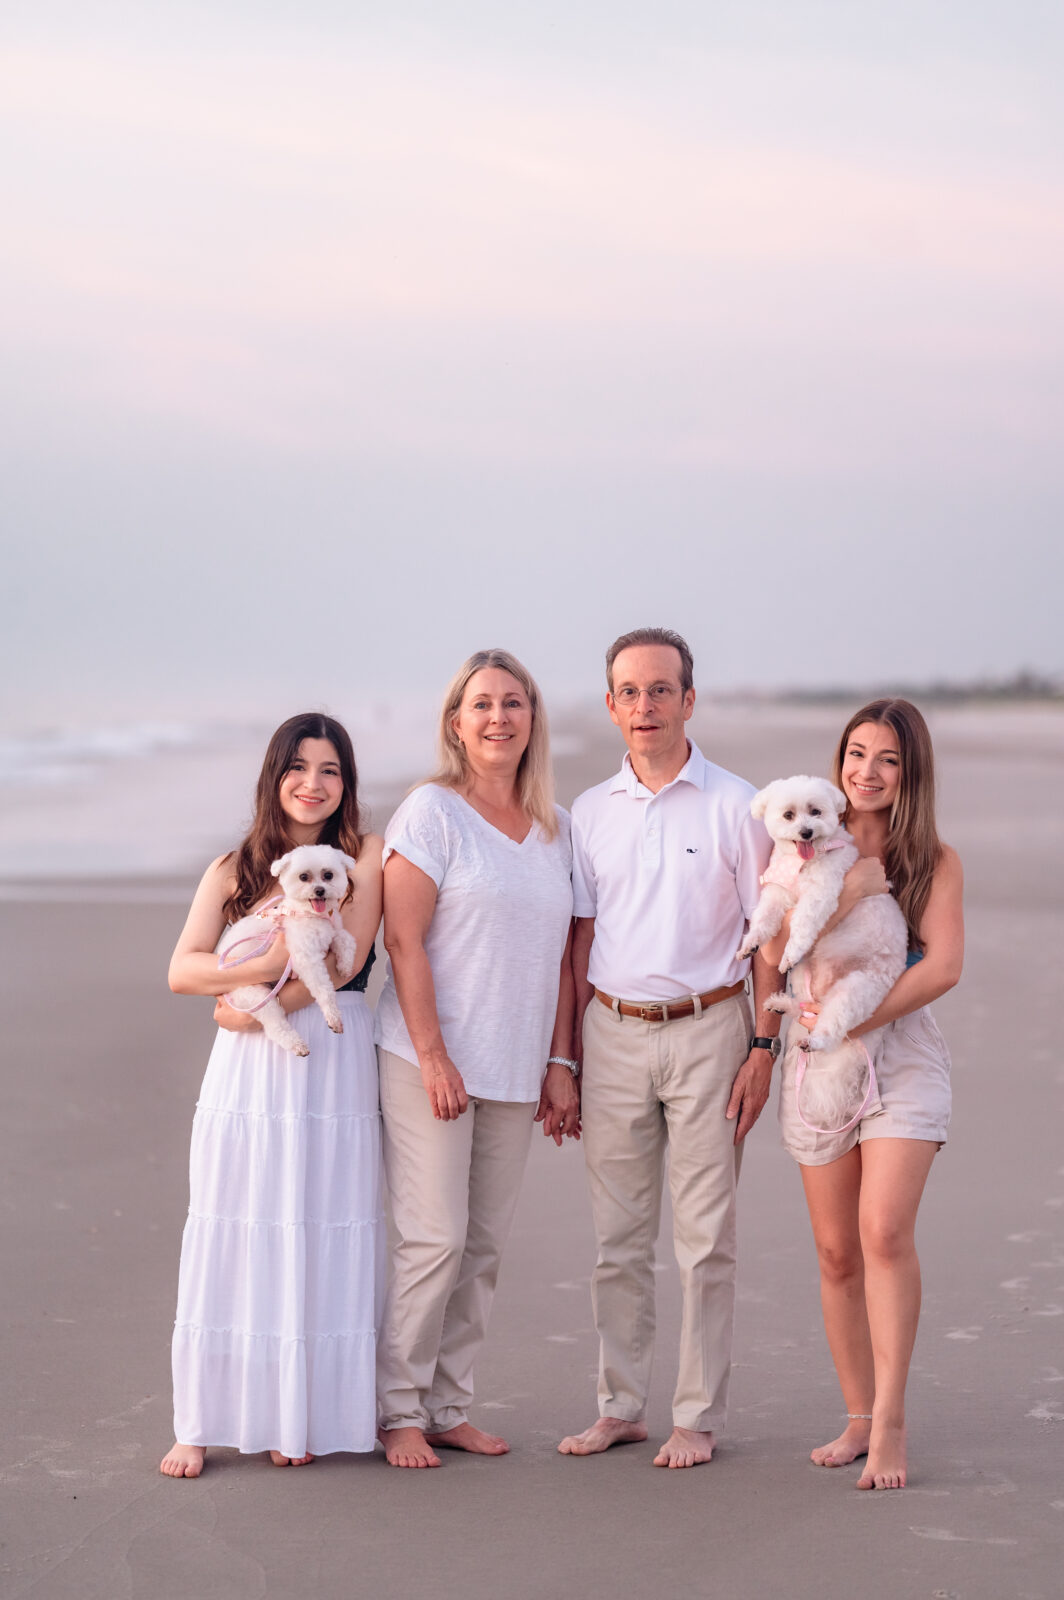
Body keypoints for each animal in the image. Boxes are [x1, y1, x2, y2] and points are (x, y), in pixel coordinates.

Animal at [217, 844, 358, 1056]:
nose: (319, 890)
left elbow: (346, 939)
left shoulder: (333, 931)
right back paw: (296, 1044)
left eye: (328, 875)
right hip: (255, 995)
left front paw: (345, 966)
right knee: (275, 1025)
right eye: (303, 877)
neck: (309, 914)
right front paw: (333, 1016)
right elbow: (324, 990)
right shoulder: (306, 958)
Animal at [739, 774, 902, 1126]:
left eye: (815, 812)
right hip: (806, 977)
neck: (804, 860)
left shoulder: (821, 894)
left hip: (857, 989)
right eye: (788, 815)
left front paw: (788, 951)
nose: (806, 832)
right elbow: (764, 919)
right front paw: (751, 943)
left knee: (831, 1024)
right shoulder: (777, 891)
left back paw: (815, 1040)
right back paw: (781, 1004)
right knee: (805, 1007)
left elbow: (802, 926)